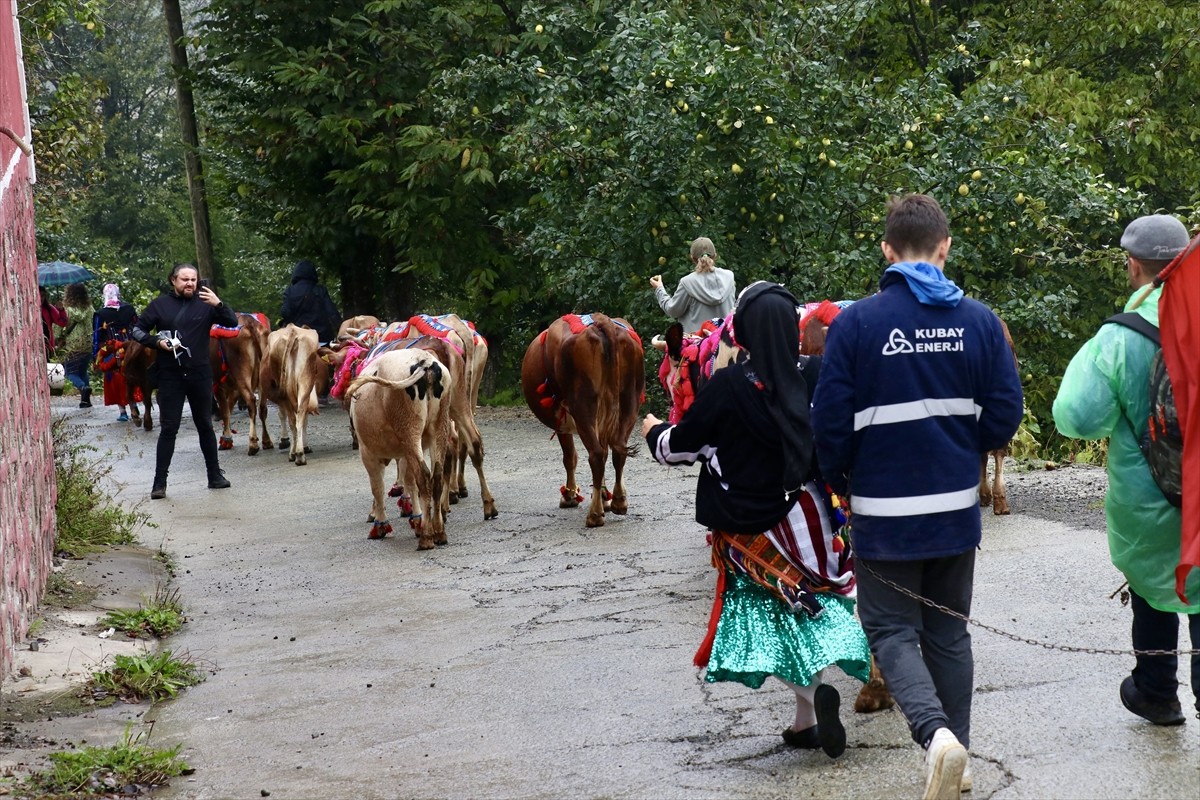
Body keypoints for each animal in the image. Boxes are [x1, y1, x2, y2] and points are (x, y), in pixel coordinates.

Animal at [210, 311, 271, 455]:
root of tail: (250, 323)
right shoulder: (234, 388)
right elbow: (229, 407)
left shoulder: (217, 384)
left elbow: (225, 411)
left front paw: (226, 439)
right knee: (262, 406)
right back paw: (267, 441)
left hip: (241, 374)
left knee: (251, 401)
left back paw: (253, 444)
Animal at [258, 323, 324, 465]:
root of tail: (292, 330)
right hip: (305, 384)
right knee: (299, 416)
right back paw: (299, 453)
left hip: (289, 393)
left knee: (295, 419)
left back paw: (296, 454)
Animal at [350, 350, 456, 551]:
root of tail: (424, 360)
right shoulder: (405, 452)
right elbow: (409, 482)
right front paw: (416, 519)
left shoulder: (367, 452)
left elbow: (377, 487)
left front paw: (380, 525)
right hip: (438, 428)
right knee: (436, 476)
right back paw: (438, 532)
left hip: (409, 430)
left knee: (423, 476)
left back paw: (426, 537)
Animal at [518, 314, 643, 532]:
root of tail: (601, 320)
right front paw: (604, 496)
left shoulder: (562, 421)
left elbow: (570, 457)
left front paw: (570, 495)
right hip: (630, 399)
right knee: (616, 450)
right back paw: (619, 501)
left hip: (582, 405)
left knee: (596, 454)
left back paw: (594, 514)